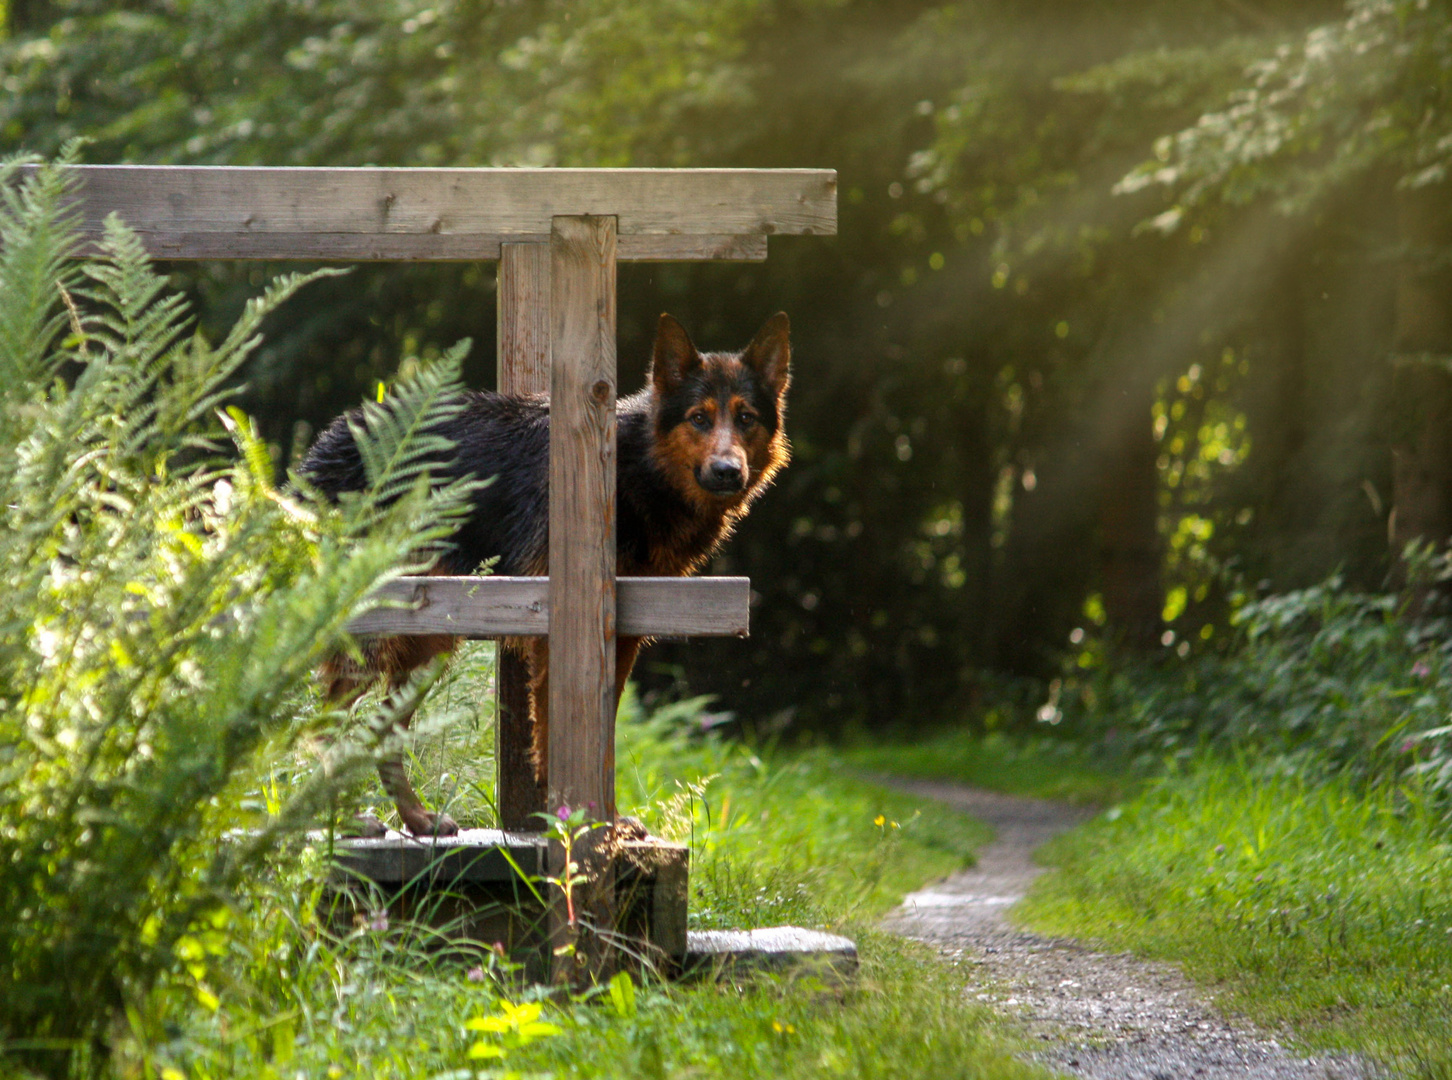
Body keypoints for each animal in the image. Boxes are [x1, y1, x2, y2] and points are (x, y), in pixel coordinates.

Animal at [299, 312, 789, 836]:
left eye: (745, 419)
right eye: (699, 417)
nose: (727, 472)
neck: (634, 466)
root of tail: (333, 436)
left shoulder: (622, 638)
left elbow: (601, 737)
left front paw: (599, 818)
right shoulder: (563, 636)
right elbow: (562, 736)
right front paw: (580, 821)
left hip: (426, 648)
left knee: (377, 736)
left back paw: (414, 818)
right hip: (375, 644)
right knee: (319, 728)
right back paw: (347, 821)